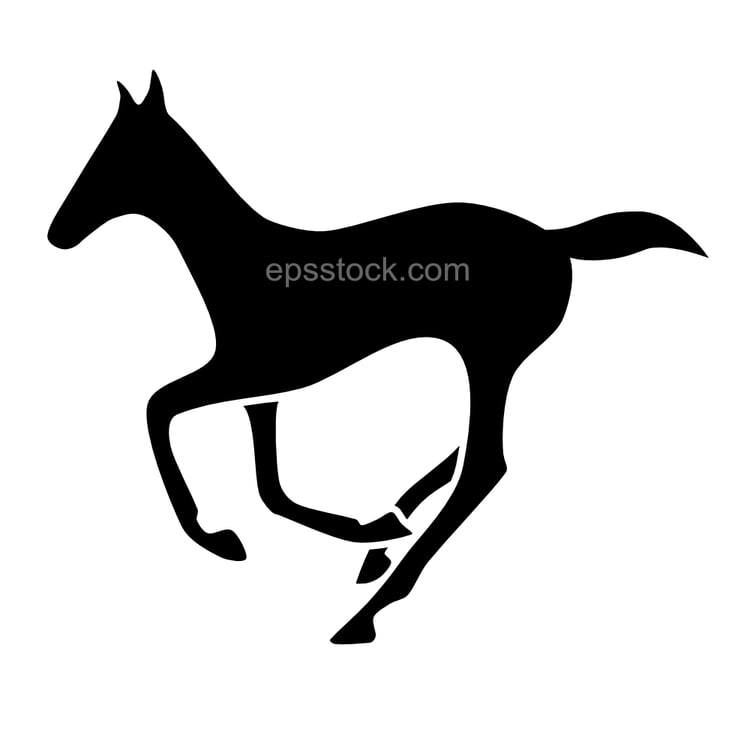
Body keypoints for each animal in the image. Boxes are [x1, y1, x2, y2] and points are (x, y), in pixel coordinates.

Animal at [48, 72, 705, 643]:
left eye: (112, 157)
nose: (57, 232)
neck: (239, 266)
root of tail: (551, 237)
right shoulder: (266, 388)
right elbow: (269, 485)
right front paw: (364, 531)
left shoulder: (260, 369)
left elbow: (160, 407)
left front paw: (217, 537)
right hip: (490, 360)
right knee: (465, 457)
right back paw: (389, 531)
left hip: (489, 355)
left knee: (484, 466)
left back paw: (365, 613)